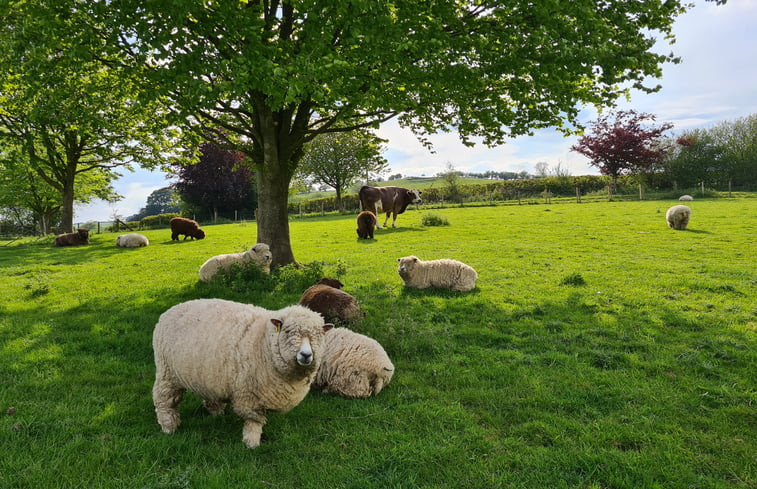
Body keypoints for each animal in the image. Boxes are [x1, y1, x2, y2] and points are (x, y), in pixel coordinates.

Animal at [152, 298, 332, 446]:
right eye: (287, 331)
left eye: (319, 334)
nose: (306, 355)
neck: (264, 341)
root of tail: (169, 311)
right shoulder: (250, 395)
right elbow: (254, 421)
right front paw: (251, 443)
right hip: (167, 372)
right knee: (164, 400)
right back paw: (169, 426)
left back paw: (216, 413)